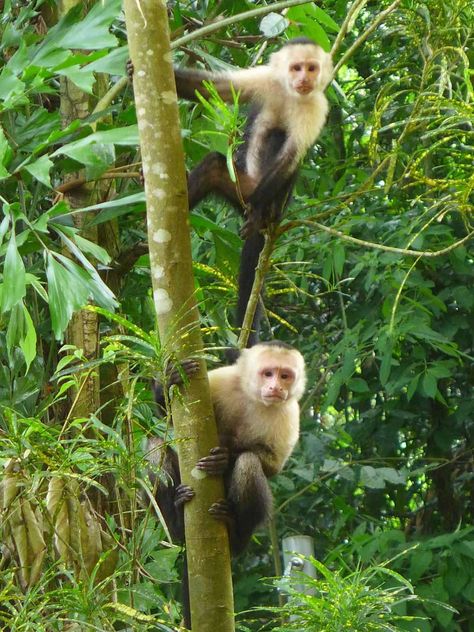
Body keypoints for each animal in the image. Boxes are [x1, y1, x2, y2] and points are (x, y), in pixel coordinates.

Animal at [146, 340, 306, 628]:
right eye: (268, 373)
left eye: (285, 375)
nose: (276, 387)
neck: (254, 398)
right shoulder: (222, 380)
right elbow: (170, 419)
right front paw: (171, 378)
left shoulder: (289, 413)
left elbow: (272, 466)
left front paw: (225, 458)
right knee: (155, 445)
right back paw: (175, 521)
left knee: (249, 462)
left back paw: (236, 531)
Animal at [174, 38, 334, 346]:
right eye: (296, 67)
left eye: (312, 68)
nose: (305, 79)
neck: (291, 94)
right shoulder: (266, 78)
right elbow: (215, 89)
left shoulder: (317, 106)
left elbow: (291, 157)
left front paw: (260, 210)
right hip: (240, 186)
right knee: (214, 165)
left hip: (264, 197)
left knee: (282, 144)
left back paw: (263, 214)